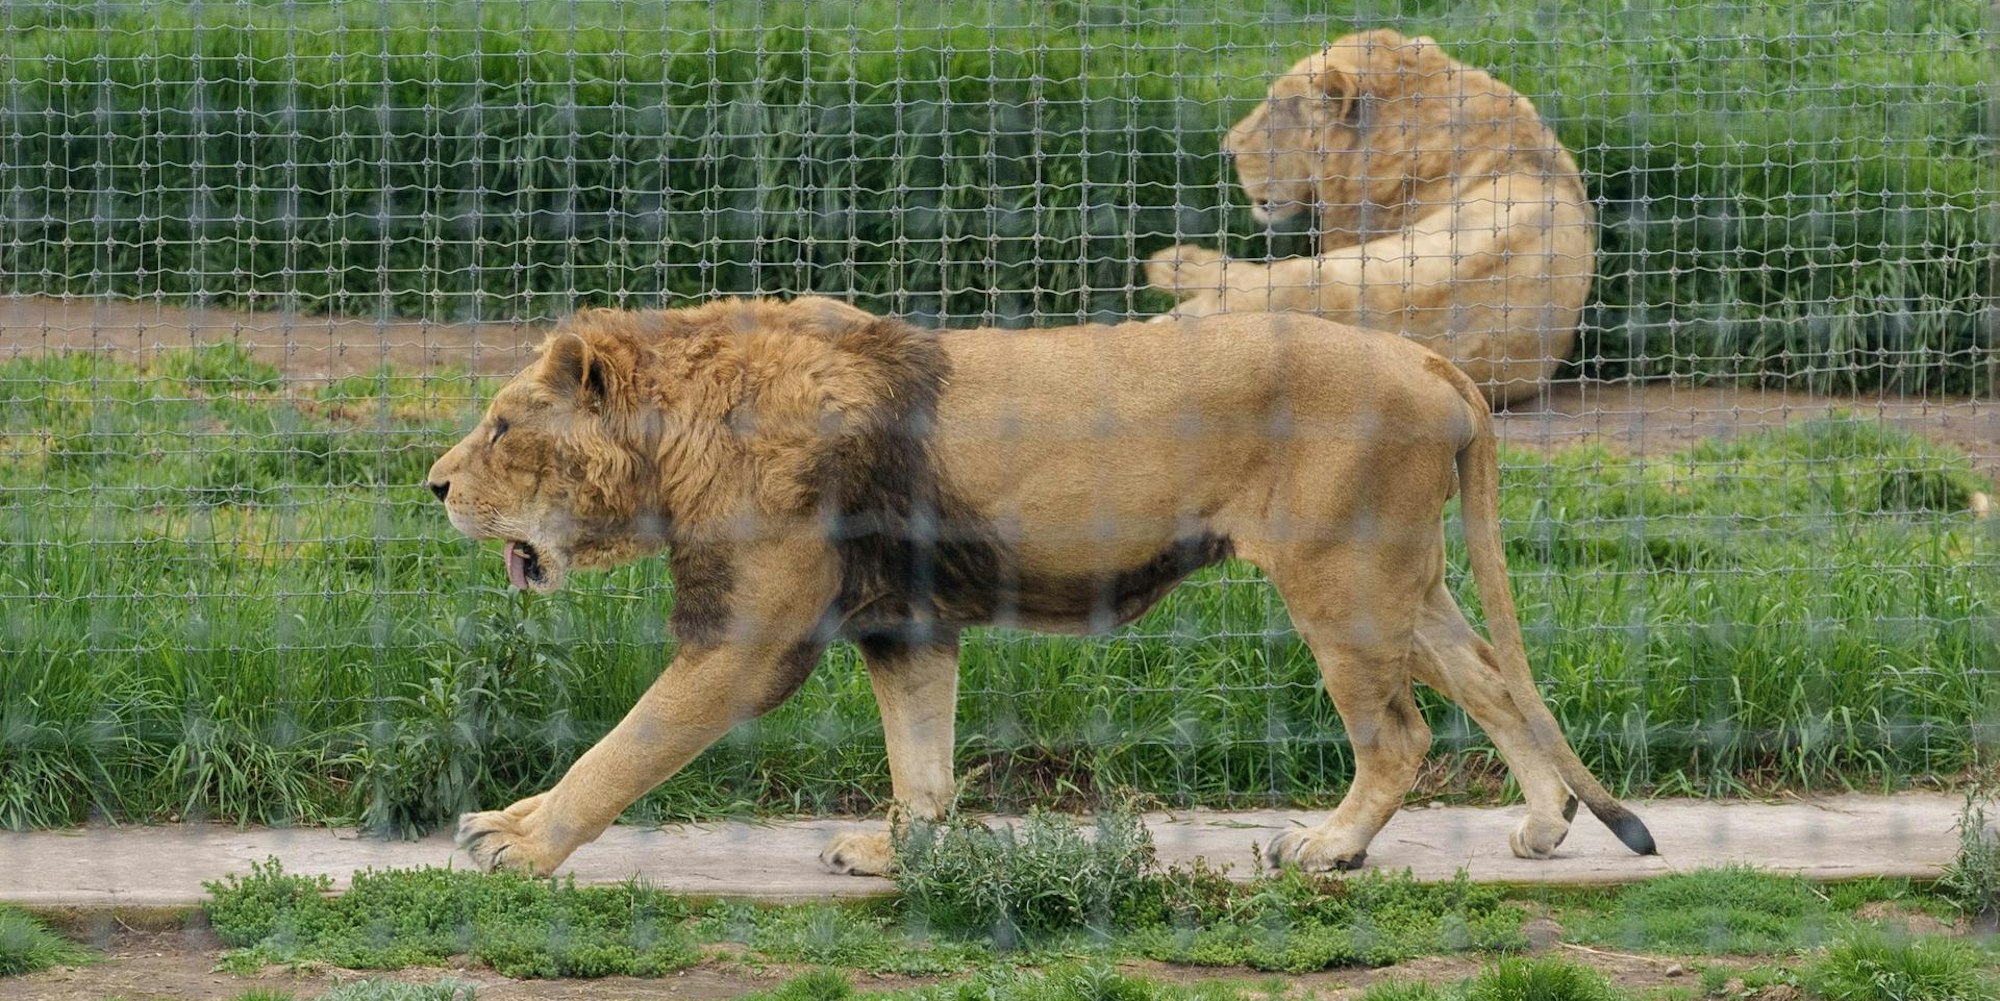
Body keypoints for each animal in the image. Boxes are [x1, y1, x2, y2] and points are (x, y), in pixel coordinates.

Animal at [424, 296, 1654, 878]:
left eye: (502, 428)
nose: (432, 484)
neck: (675, 437)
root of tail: (1426, 357)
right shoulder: (905, 622)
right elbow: (919, 762)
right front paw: (894, 853)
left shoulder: (747, 635)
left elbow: (621, 749)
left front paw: (524, 847)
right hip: (1399, 576)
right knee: (1492, 678)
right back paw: (1542, 825)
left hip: (1338, 575)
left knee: (1398, 732)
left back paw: (1328, 848)